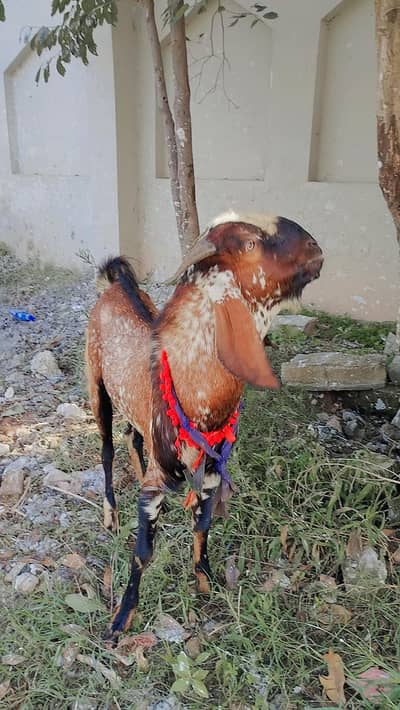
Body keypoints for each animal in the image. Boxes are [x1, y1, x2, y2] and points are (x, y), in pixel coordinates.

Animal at [86, 211, 323, 642]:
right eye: (250, 244)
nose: (315, 248)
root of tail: (113, 287)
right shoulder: (157, 483)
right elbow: (143, 552)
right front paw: (121, 618)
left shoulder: (212, 472)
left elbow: (203, 526)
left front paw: (206, 582)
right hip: (96, 387)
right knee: (107, 449)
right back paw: (110, 513)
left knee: (132, 436)